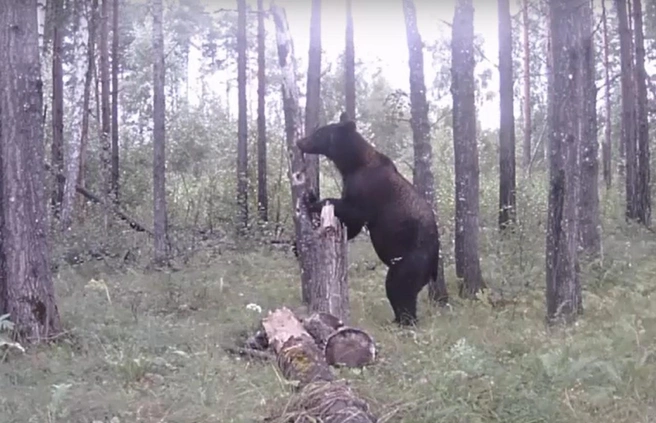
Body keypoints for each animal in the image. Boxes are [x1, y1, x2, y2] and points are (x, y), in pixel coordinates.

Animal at [296, 112, 448, 326]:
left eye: (318, 133)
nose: (300, 141)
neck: (351, 164)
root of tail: (435, 261)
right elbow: (352, 225)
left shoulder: (368, 190)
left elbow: (352, 210)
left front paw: (312, 201)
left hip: (413, 257)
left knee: (398, 286)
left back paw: (404, 320)